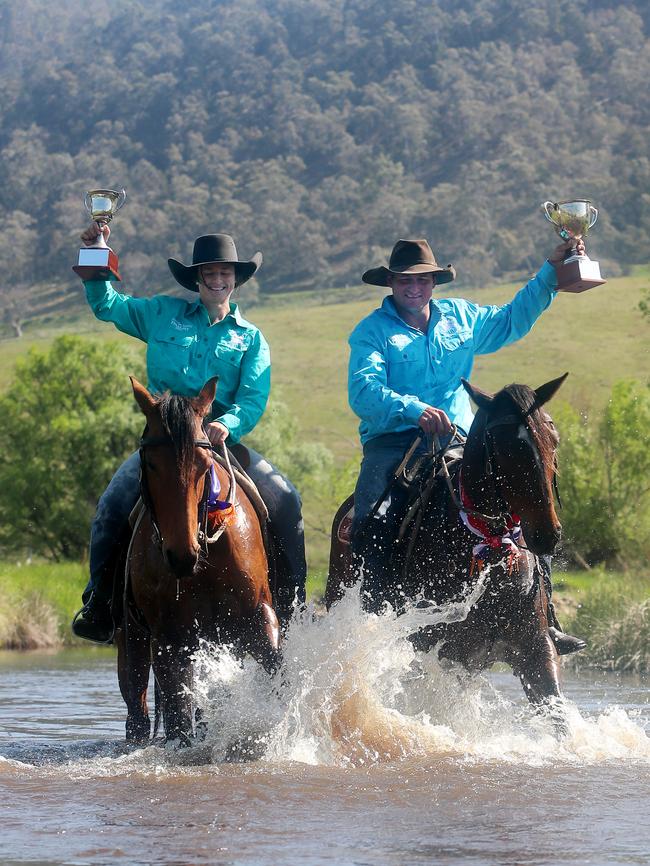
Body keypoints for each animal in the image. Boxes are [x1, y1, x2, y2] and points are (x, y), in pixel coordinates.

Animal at [115, 378, 278, 744]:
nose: (181, 555)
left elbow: (278, 671)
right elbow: (178, 717)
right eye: (150, 463)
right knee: (138, 709)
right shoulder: (169, 639)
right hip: (134, 638)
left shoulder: (258, 616)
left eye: (204, 463)